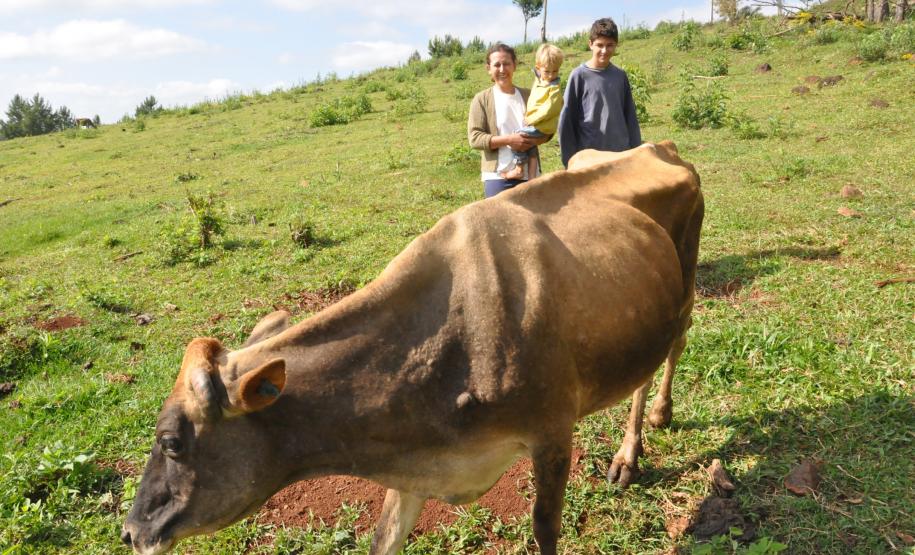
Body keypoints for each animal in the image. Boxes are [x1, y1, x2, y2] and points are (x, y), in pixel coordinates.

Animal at [121, 141, 703, 555]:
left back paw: (642, 437)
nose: (130, 531)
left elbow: (545, 532)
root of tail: (661, 146)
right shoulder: (412, 460)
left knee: (671, 350)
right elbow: (385, 539)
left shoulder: (553, 433)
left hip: (685, 284)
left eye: (171, 442)